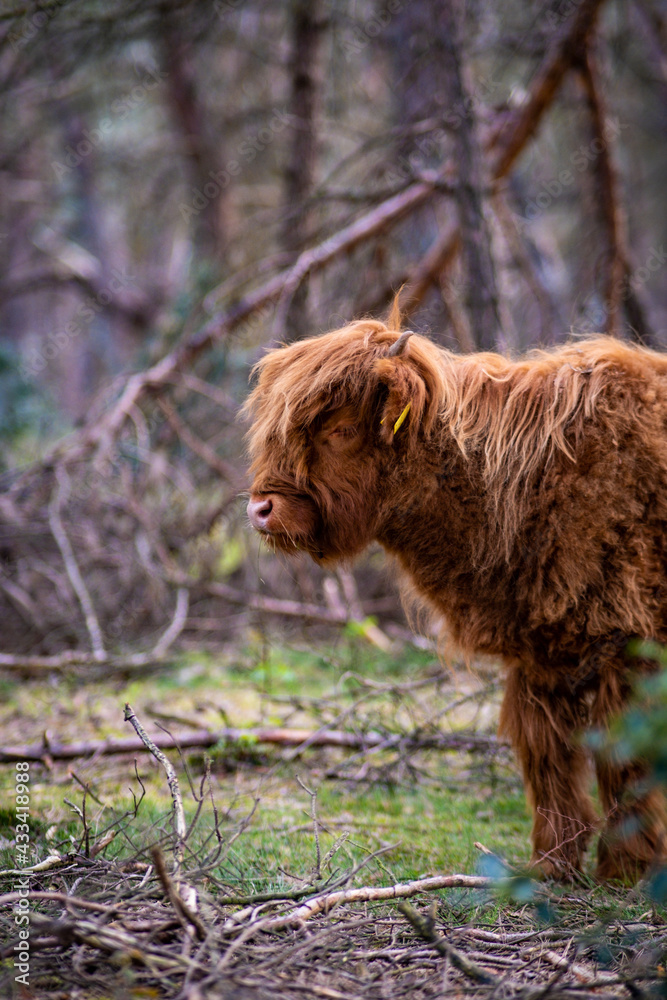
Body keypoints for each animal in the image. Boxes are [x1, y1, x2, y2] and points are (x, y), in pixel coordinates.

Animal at [243, 320, 667, 884]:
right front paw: (551, 866)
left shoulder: (627, 643)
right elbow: (547, 756)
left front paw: (625, 871)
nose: (261, 508)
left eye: (341, 429)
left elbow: (624, 757)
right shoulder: (541, 653)